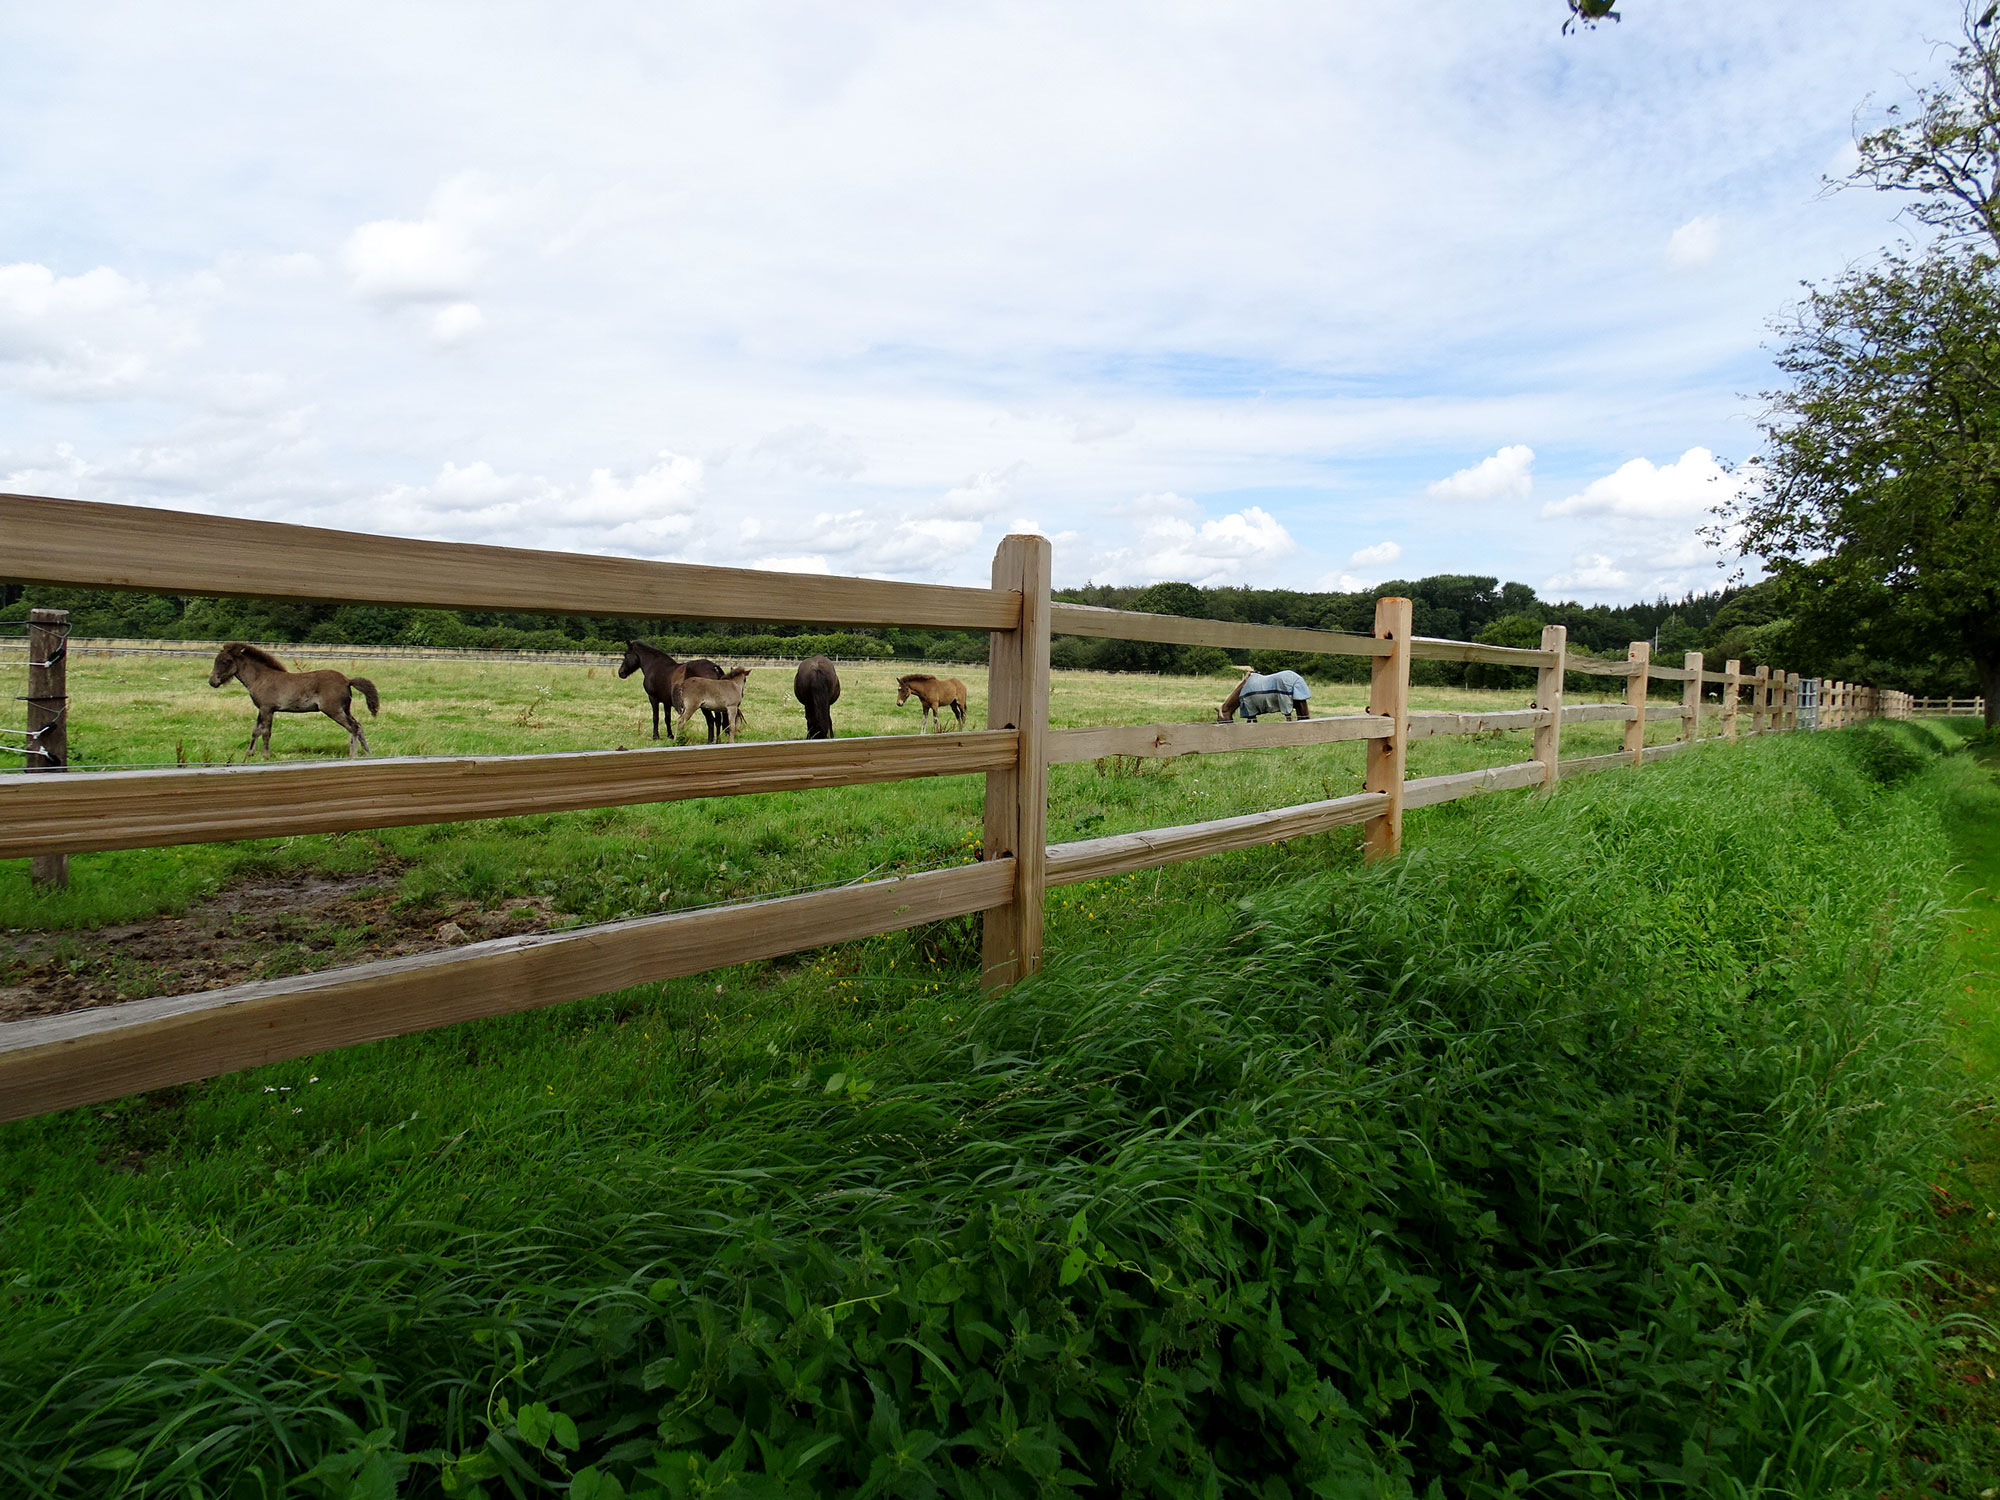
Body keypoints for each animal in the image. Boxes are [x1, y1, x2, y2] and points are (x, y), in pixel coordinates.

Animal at [207, 643, 380, 757]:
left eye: (225, 661)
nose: (212, 682)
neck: (260, 677)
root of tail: (347, 680)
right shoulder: (261, 709)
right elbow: (255, 731)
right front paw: (249, 754)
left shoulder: (267, 709)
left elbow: (266, 732)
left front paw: (265, 756)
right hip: (345, 709)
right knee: (358, 725)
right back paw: (368, 753)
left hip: (333, 710)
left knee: (352, 727)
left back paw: (353, 755)